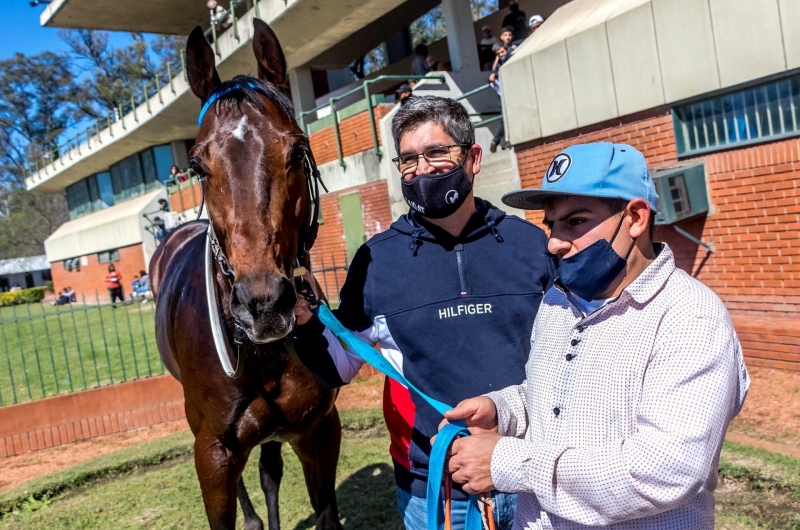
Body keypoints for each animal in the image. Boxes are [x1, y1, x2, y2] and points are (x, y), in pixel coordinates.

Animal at [152, 20, 342, 528]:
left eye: (297, 150)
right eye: (197, 166)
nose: (264, 304)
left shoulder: (319, 432)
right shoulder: (213, 451)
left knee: (270, 471)